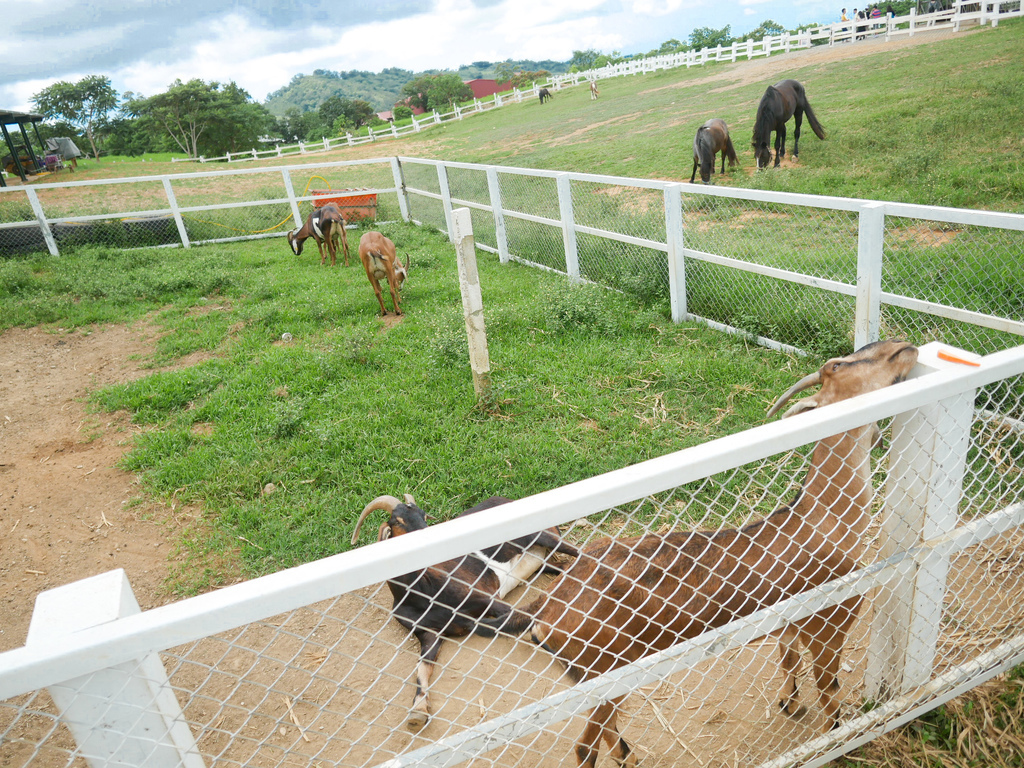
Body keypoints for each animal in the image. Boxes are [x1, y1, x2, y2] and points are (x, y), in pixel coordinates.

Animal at [352, 495, 581, 729]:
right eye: (398, 521)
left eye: (423, 515)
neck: (422, 593)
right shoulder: (429, 633)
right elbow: (422, 669)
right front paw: (418, 712)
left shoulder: (488, 599)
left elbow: (523, 620)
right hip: (544, 562)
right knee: (567, 567)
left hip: (542, 536)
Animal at [487, 342, 921, 768]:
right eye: (837, 364)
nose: (905, 347)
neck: (821, 518)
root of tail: (544, 611)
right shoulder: (830, 622)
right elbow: (828, 688)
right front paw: (835, 737)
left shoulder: (790, 623)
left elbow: (788, 659)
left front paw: (790, 703)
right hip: (604, 671)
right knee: (583, 746)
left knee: (606, 726)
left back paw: (630, 756)